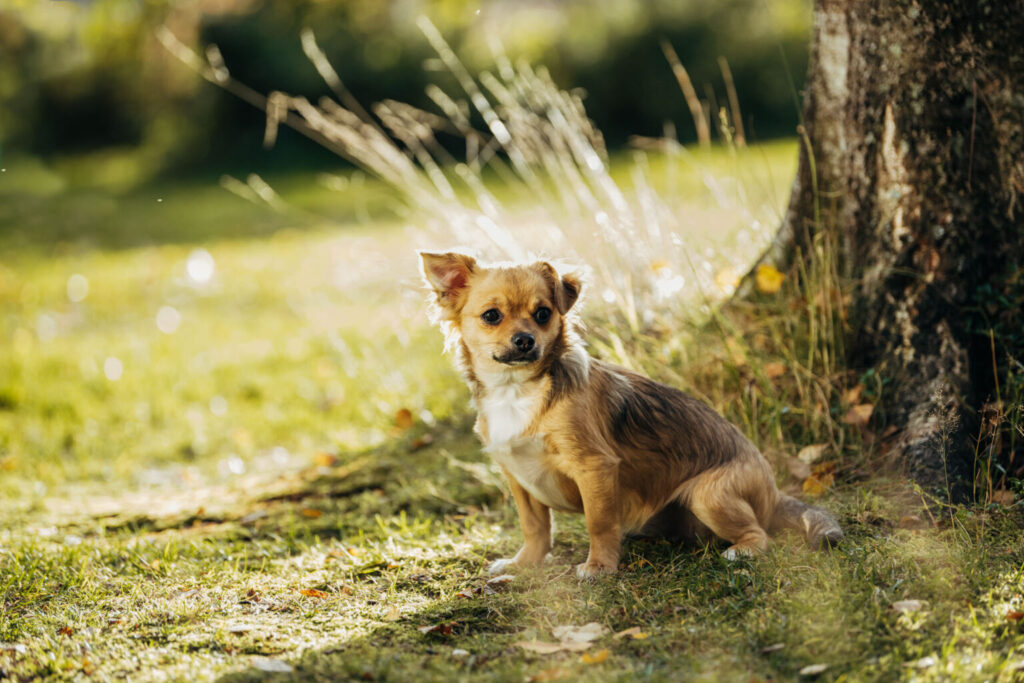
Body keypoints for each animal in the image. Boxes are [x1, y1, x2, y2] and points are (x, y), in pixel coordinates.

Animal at [415, 248, 839, 581]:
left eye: (543, 313)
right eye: (491, 316)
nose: (525, 341)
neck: (517, 390)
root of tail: (773, 491)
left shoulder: (594, 467)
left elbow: (598, 522)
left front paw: (599, 567)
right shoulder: (517, 474)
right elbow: (535, 527)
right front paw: (524, 563)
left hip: (710, 494)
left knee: (761, 533)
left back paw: (743, 549)